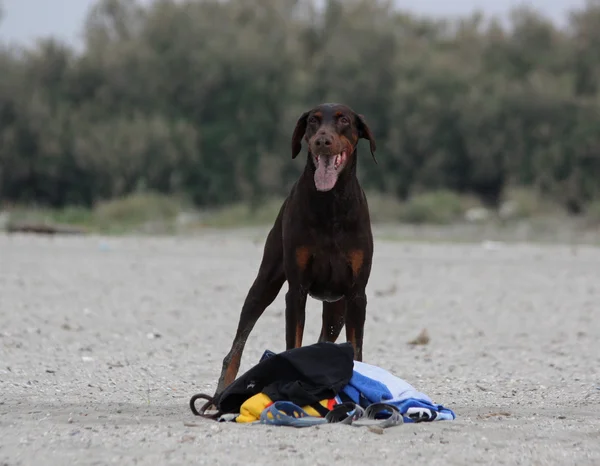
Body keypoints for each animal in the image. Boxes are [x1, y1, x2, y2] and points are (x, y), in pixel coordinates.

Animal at [214, 104, 376, 396]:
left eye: (344, 120)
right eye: (313, 121)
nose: (322, 141)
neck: (331, 203)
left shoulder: (357, 294)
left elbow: (357, 351)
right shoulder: (296, 291)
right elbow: (293, 344)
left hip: (338, 307)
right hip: (265, 283)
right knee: (237, 345)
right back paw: (221, 390)